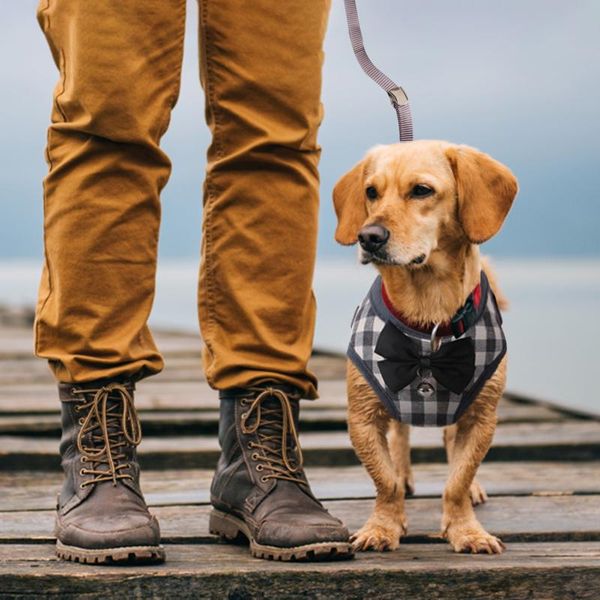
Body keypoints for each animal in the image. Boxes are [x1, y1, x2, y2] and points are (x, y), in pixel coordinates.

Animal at [336, 139, 516, 552]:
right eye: (371, 192)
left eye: (421, 190)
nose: (367, 236)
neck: (427, 318)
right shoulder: (363, 418)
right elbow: (384, 480)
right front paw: (382, 527)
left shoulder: (481, 419)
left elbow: (457, 480)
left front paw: (465, 530)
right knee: (400, 438)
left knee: (450, 444)